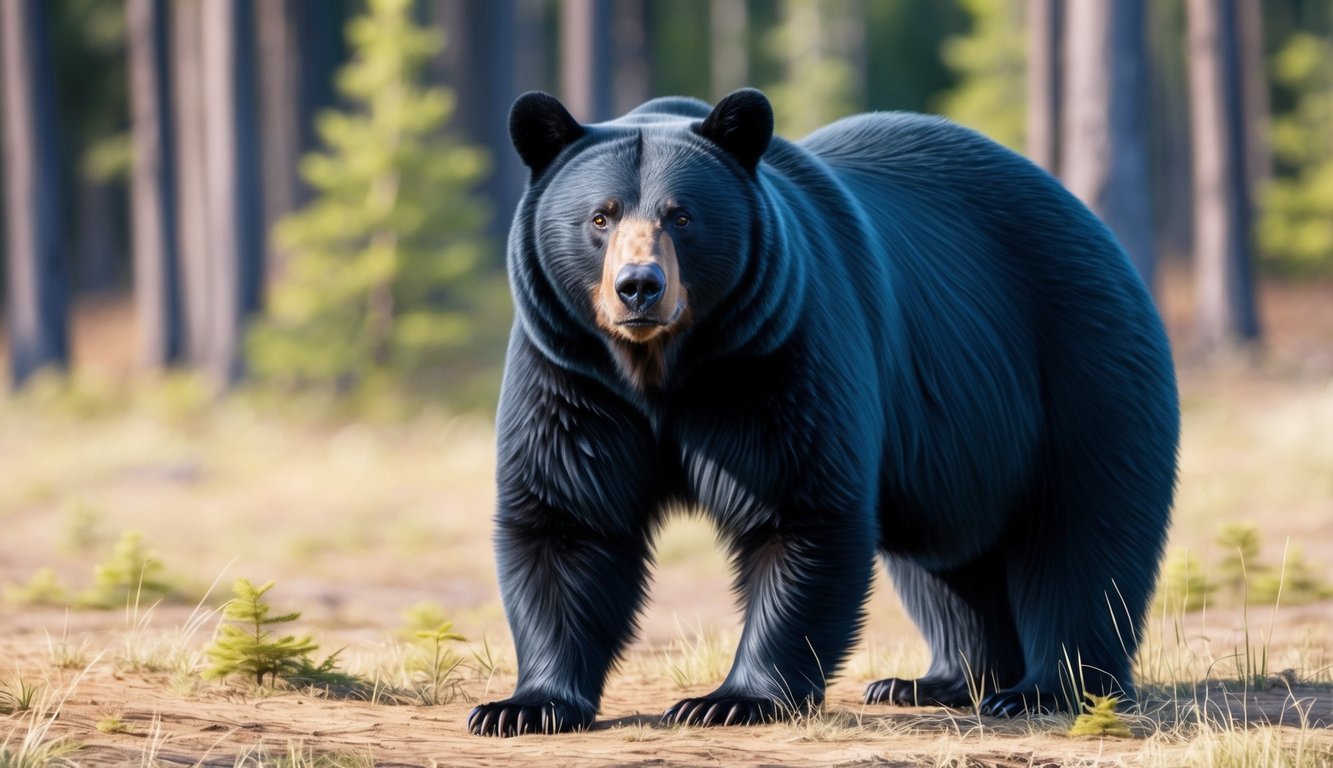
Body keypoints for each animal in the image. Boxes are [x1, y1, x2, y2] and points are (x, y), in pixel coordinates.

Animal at [469, 90, 1178, 736]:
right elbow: (567, 519)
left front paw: (728, 699)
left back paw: (1045, 690)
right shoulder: (572, 376)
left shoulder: (775, 356)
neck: (663, 368)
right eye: (600, 216)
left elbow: (799, 506)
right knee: (947, 565)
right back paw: (934, 681)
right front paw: (521, 707)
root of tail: (1084, 214)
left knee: (1082, 532)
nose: (639, 287)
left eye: (682, 216)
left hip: (1079, 365)